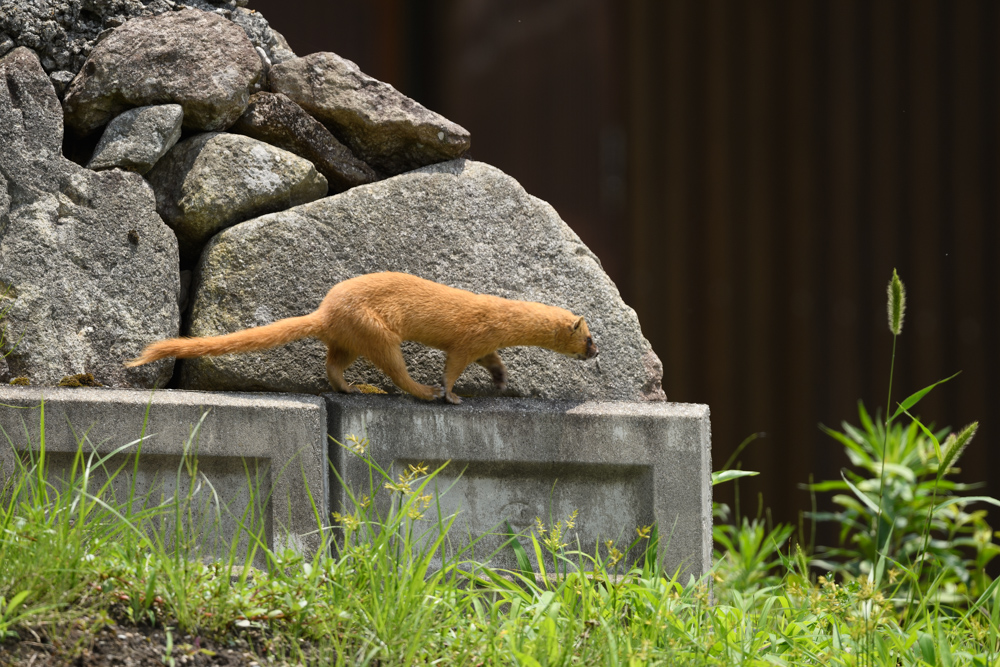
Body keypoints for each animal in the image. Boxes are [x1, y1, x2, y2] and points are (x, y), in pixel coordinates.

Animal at [124, 270, 592, 402]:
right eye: (590, 339)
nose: (597, 352)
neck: (502, 314)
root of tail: (325, 312)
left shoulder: (487, 344)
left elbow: (493, 361)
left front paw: (500, 381)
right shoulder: (472, 337)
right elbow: (454, 365)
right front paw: (452, 394)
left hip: (350, 340)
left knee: (334, 365)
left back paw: (354, 388)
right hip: (377, 330)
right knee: (395, 368)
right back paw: (421, 392)